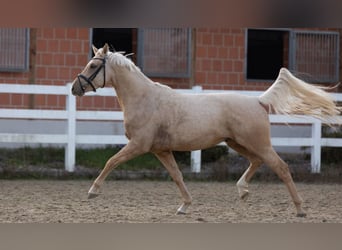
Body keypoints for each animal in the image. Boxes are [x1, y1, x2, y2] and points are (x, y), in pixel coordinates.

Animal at [71, 43, 340, 217]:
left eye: (93, 65)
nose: (75, 88)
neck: (146, 99)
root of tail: (259, 101)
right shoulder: (161, 150)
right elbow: (177, 176)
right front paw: (184, 206)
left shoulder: (138, 145)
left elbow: (111, 162)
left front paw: (92, 192)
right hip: (237, 143)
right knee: (257, 161)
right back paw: (243, 191)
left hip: (257, 143)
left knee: (281, 168)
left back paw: (300, 209)